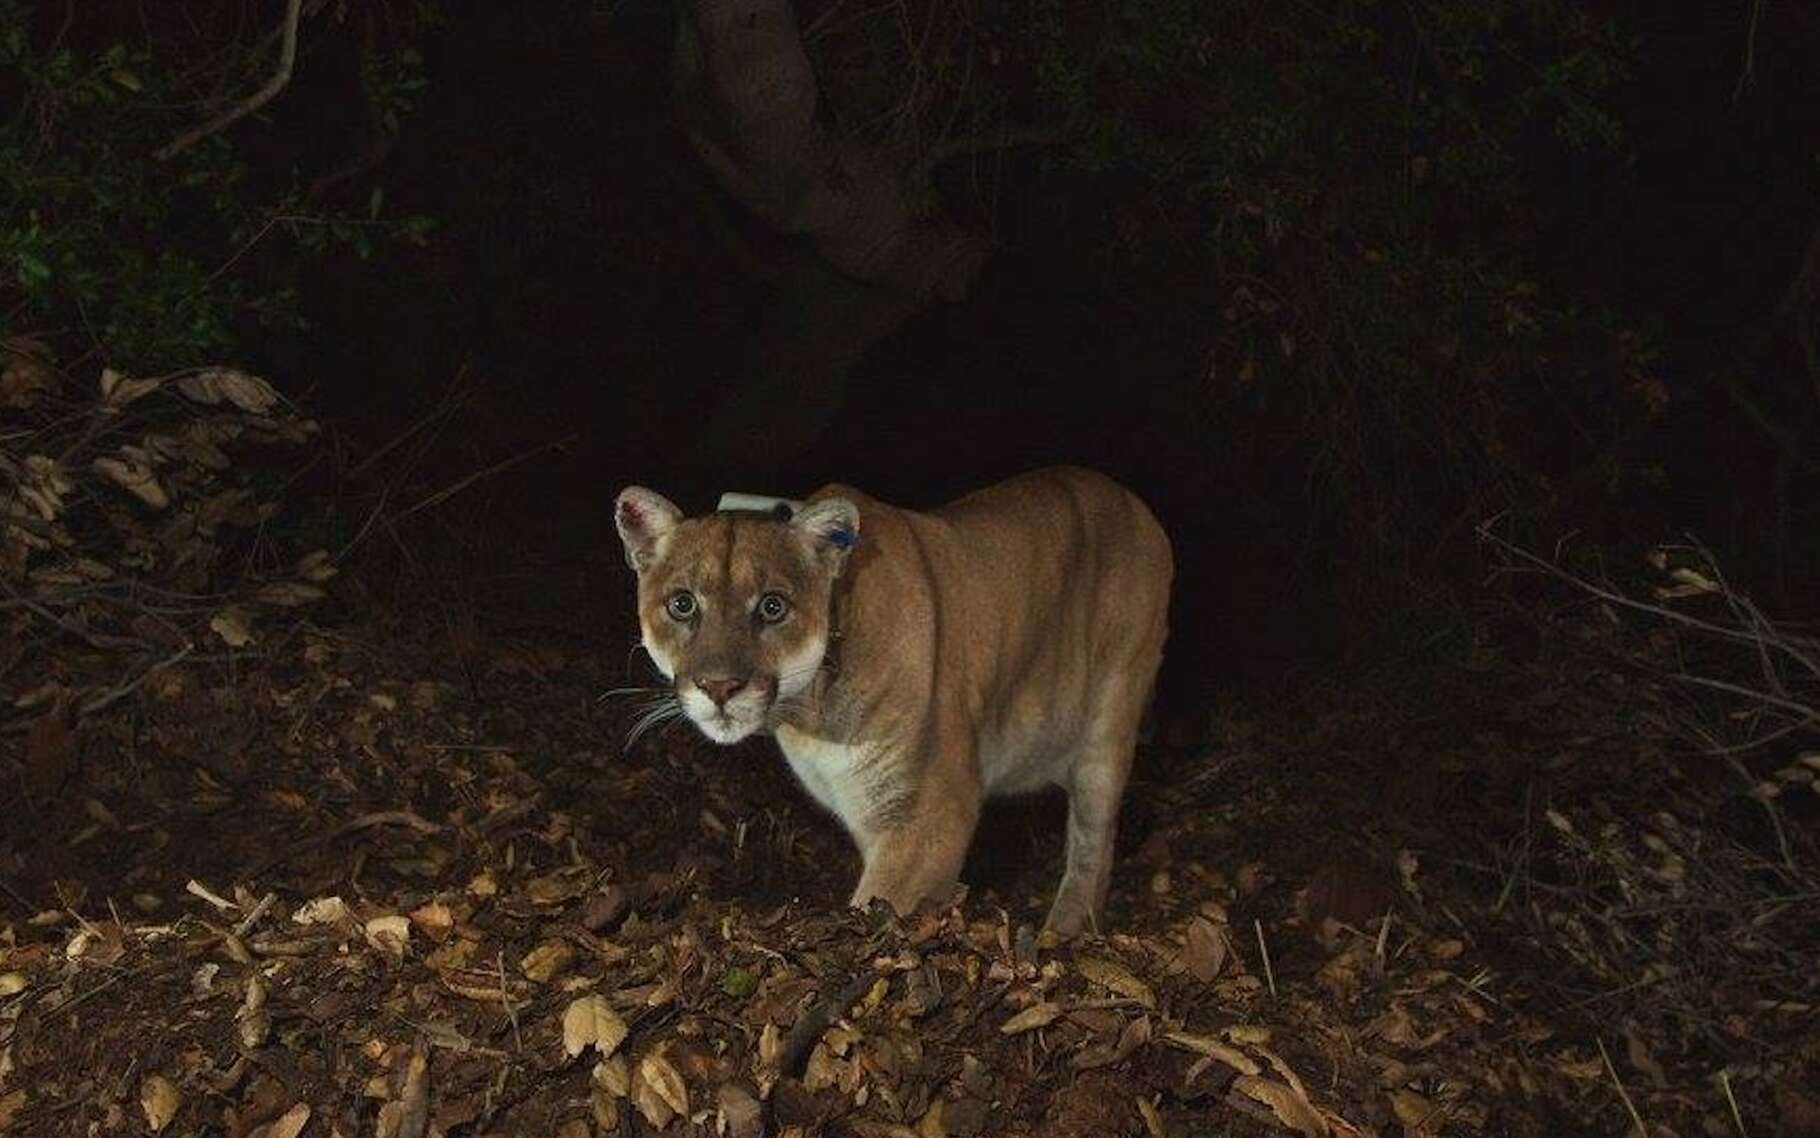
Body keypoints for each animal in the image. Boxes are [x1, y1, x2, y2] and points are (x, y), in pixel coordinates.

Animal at [618, 466, 1172, 928]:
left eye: (773, 607)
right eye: (682, 604)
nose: (720, 687)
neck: (811, 712)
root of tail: (1133, 502)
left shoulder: (932, 813)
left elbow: (879, 906)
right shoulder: (867, 810)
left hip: (1108, 724)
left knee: (1094, 844)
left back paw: (1064, 929)